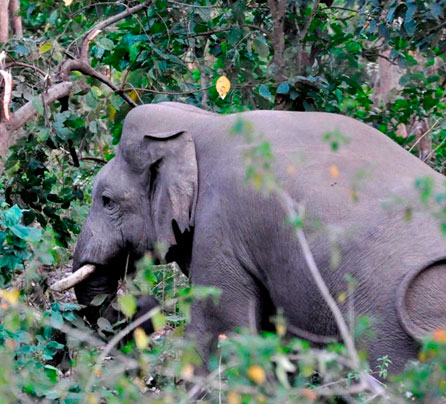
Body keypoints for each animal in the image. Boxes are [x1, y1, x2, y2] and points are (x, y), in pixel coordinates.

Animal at [60, 101, 446, 376]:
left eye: (107, 200)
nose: (147, 302)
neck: (202, 123)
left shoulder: (220, 227)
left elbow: (219, 328)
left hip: (388, 322)